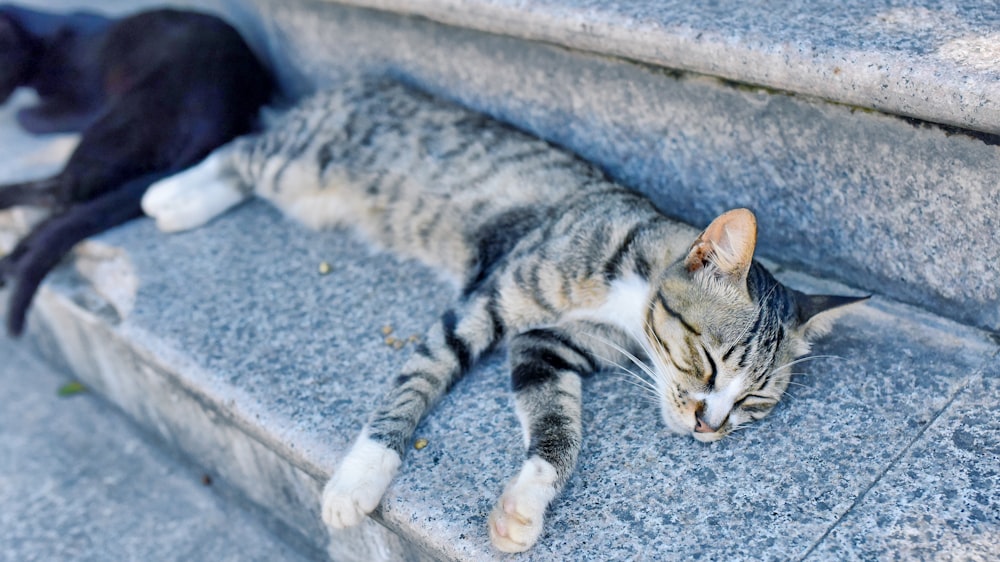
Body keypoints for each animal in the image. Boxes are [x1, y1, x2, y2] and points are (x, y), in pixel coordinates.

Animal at [0, 6, 274, 332]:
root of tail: (219, 112)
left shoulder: (83, 107)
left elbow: (24, 116)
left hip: (114, 121)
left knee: (63, 193)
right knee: (73, 204)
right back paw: (15, 258)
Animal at [141, 77, 868, 552]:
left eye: (754, 402)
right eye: (708, 360)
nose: (709, 427)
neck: (624, 296)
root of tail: (359, 79)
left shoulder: (544, 346)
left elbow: (558, 429)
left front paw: (522, 508)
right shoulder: (483, 304)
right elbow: (414, 382)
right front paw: (359, 478)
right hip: (302, 159)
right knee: (242, 145)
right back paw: (168, 198)